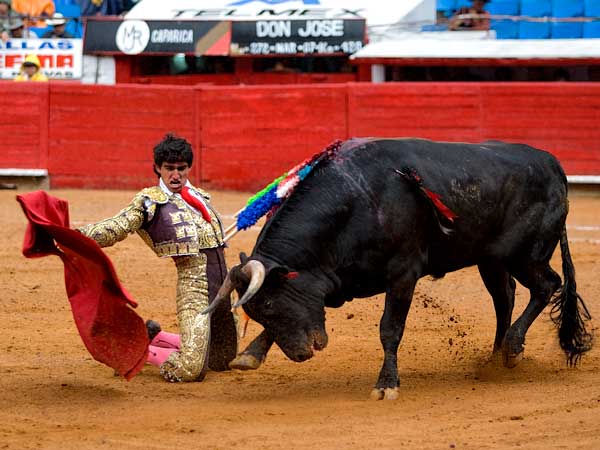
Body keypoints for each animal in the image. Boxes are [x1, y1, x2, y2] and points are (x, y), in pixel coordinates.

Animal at [205, 138, 592, 400]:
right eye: (258, 312)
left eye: (272, 305)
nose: (300, 355)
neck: (355, 201)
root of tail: (552, 163)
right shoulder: (333, 281)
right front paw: (250, 355)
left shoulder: (403, 273)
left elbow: (390, 329)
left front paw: (386, 384)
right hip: (491, 259)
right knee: (505, 297)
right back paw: (496, 359)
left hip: (526, 254)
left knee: (547, 285)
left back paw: (511, 348)